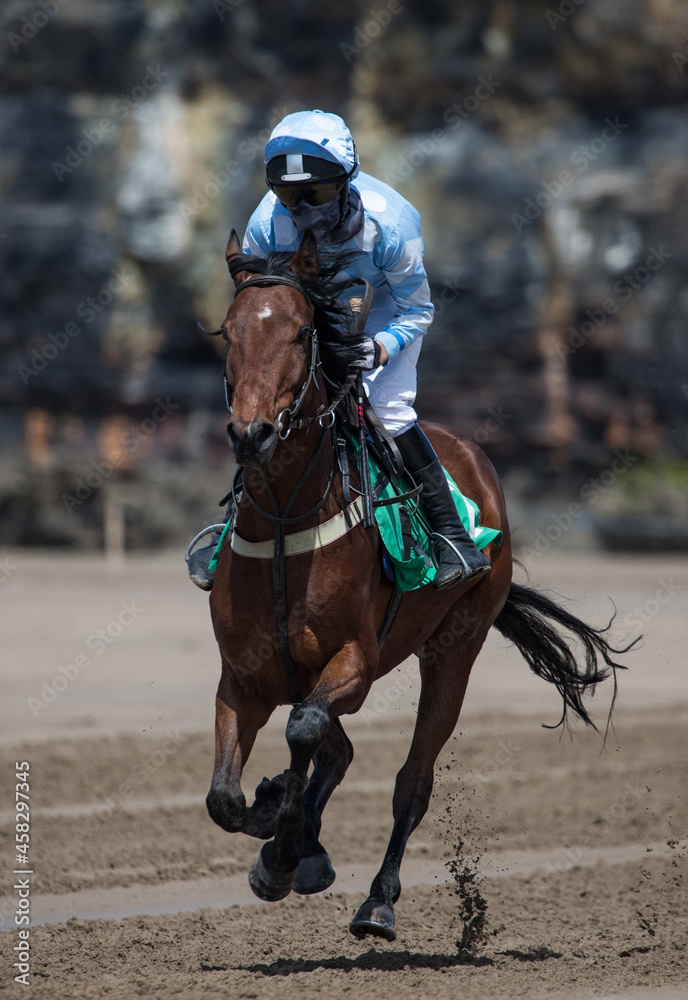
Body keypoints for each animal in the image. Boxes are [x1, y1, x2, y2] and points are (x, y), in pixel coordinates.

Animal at [203, 228, 632, 942]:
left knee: (411, 779)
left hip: (454, 649)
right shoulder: (244, 675)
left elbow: (304, 732)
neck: (288, 522)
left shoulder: (355, 659)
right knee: (336, 750)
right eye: (228, 331)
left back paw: (377, 900)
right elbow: (226, 798)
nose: (251, 432)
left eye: (300, 332)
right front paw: (276, 829)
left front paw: (286, 847)